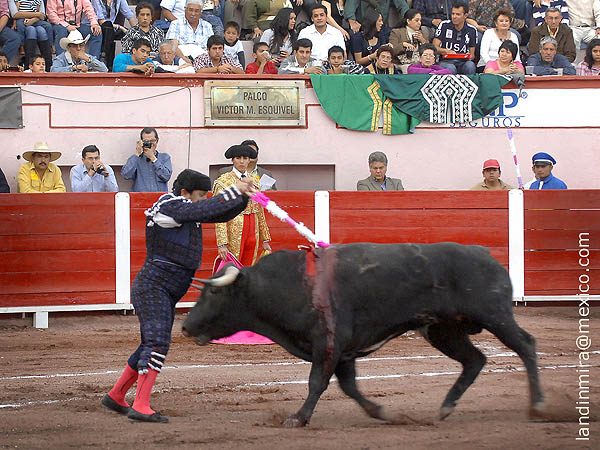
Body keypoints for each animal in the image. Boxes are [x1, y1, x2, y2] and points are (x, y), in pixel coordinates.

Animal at [182, 244, 544, 428]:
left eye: (214, 294)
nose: (185, 327)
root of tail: (487, 256)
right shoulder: (342, 352)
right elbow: (349, 386)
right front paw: (381, 412)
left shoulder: (329, 342)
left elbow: (317, 382)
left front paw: (298, 418)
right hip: (444, 330)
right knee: (474, 360)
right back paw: (444, 409)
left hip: (495, 316)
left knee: (525, 345)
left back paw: (538, 406)